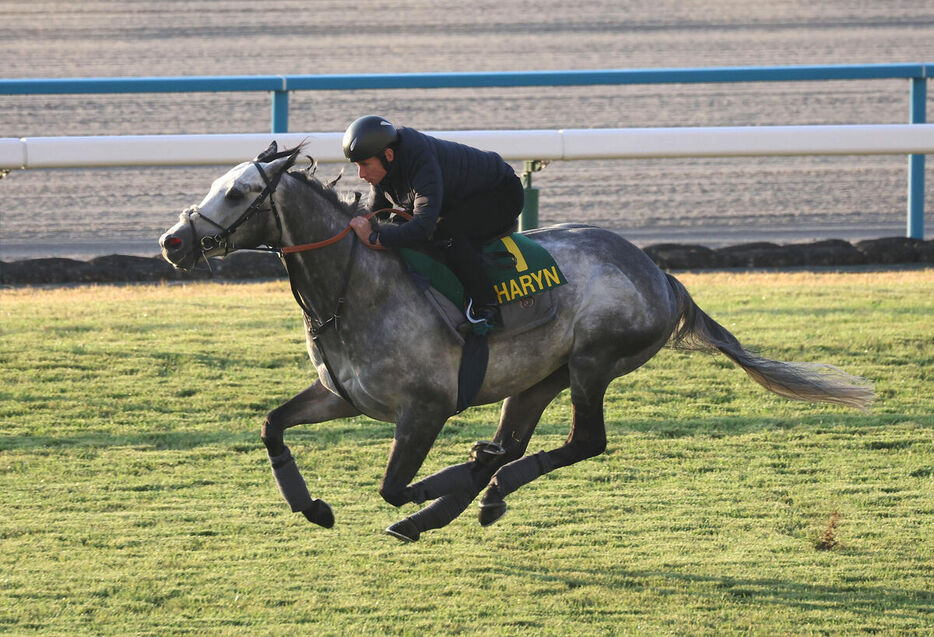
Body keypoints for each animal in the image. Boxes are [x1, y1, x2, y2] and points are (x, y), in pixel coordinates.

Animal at [161, 145, 876, 540]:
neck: (356, 287)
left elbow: (394, 485)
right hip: (537, 380)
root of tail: (662, 275)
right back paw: (480, 492)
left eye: (240, 192)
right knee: (518, 441)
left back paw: (476, 488)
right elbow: (272, 426)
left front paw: (441, 489)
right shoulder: (343, 396)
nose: (173, 241)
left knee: (582, 442)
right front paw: (313, 508)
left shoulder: (425, 408)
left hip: (592, 362)